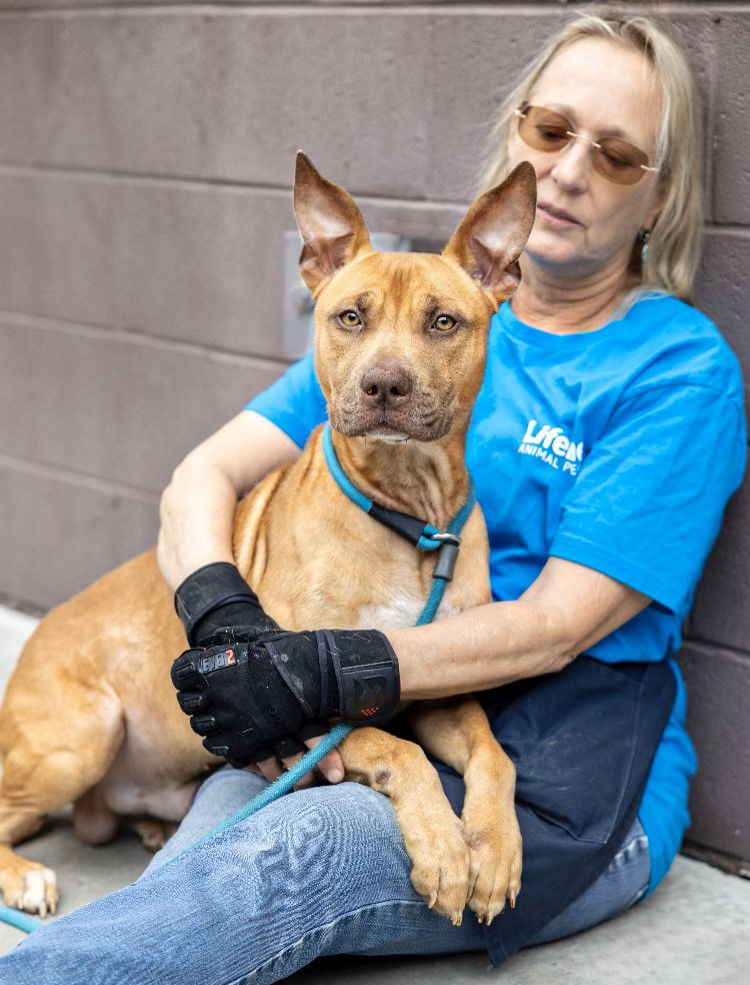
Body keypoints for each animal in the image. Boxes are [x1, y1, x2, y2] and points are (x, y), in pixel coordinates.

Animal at [0, 154, 540, 932]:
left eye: (444, 321)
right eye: (350, 316)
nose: (384, 385)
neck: (405, 512)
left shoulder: (440, 687)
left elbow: (497, 758)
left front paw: (493, 851)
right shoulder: (311, 719)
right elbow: (401, 752)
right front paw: (444, 851)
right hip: (83, 734)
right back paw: (24, 877)